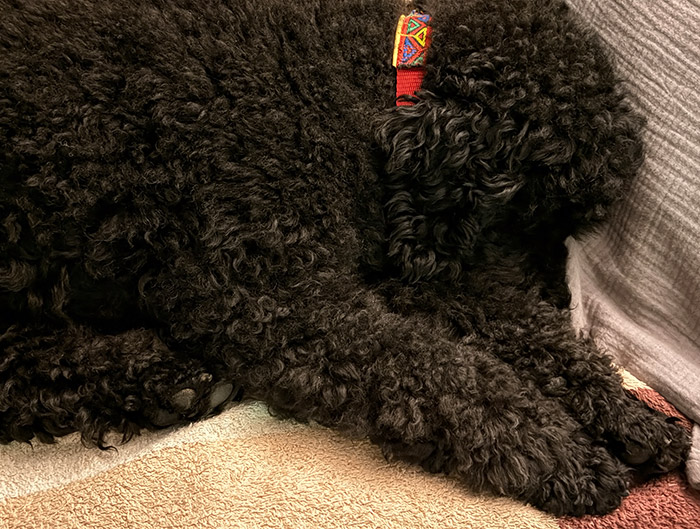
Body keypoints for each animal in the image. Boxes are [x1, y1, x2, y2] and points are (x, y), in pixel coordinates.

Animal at [0, 0, 690, 516]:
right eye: (529, 210)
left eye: (569, 225)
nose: (561, 299)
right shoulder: (272, 294)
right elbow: (438, 371)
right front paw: (562, 452)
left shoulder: (421, 264)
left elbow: (524, 335)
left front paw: (631, 418)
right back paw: (157, 379)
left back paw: (166, 384)